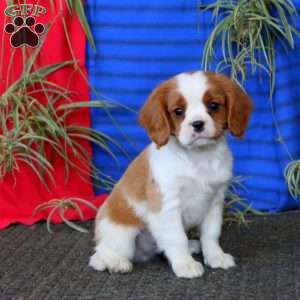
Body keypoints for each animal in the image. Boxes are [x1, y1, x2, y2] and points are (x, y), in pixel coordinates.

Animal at [88, 71, 251, 278]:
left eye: (213, 106)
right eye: (178, 111)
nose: (198, 124)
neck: (198, 157)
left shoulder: (214, 202)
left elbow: (211, 234)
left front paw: (215, 256)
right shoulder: (167, 206)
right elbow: (176, 238)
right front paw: (185, 264)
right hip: (122, 233)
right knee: (99, 255)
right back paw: (116, 262)